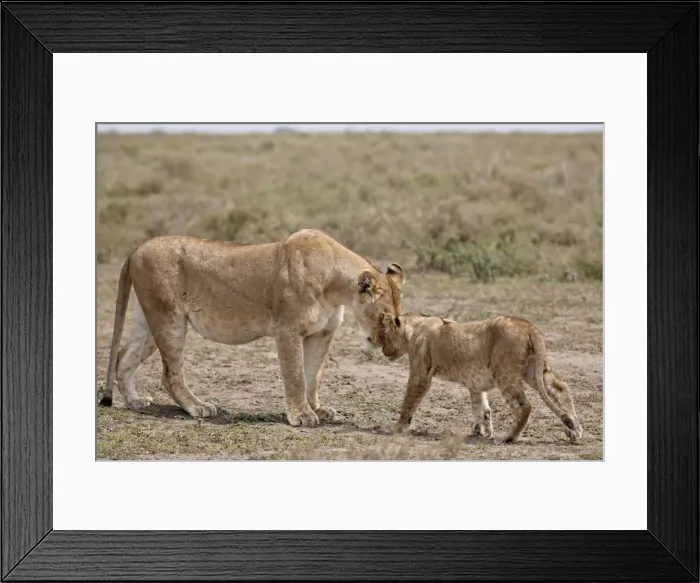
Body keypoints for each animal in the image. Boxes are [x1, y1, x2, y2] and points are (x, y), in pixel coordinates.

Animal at [99, 228, 406, 427]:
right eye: (387, 317)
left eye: (398, 317)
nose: (389, 348)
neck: (336, 286)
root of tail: (136, 250)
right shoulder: (287, 330)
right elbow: (296, 375)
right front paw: (301, 415)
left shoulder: (322, 334)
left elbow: (314, 375)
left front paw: (317, 408)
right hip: (169, 318)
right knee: (169, 374)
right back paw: (198, 407)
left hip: (149, 320)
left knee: (124, 357)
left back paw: (135, 401)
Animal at [376, 313, 583, 443]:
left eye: (384, 335)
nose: (383, 351)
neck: (414, 327)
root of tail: (528, 326)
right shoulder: (474, 383)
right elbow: (481, 407)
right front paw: (480, 431)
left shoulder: (420, 375)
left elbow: (409, 402)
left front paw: (397, 428)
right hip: (534, 370)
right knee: (561, 387)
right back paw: (574, 429)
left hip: (505, 372)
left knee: (525, 405)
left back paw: (510, 437)